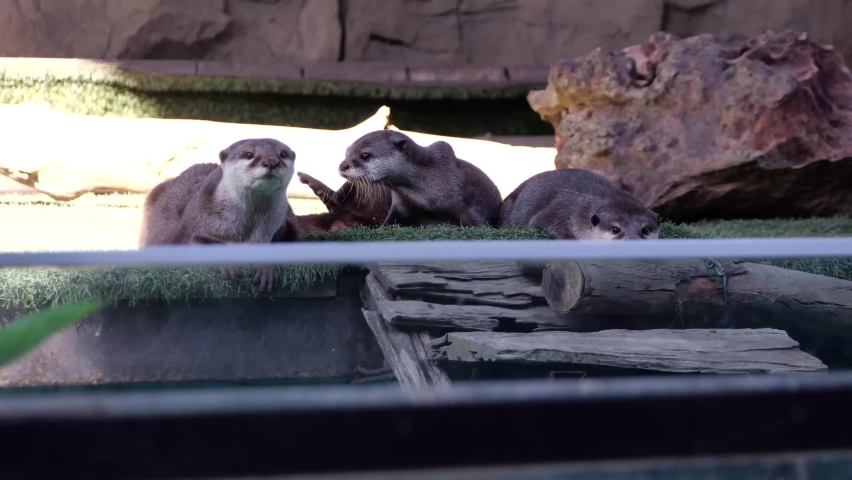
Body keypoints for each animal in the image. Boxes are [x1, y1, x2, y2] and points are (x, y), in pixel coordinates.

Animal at [139, 138, 301, 291]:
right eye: (249, 154)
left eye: (282, 154)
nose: (271, 162)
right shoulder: (195, 221)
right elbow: (194, 242)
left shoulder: (280, 225)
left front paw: (265, 267)